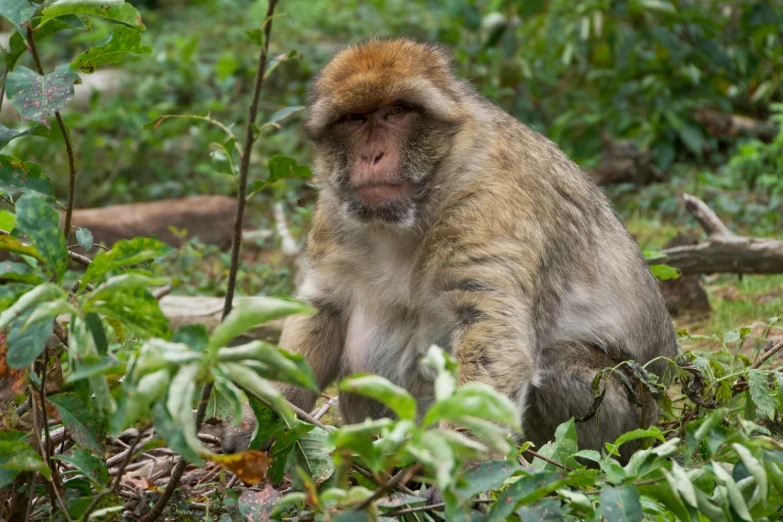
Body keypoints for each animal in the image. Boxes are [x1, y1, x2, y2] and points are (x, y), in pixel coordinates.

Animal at [222, 37, 680, 460]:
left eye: (396, 112)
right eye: (354, 119)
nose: (373, 155)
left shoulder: (488, 203)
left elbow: (490, 331)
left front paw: (459, 468)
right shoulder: (333, 213)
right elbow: (324, 309)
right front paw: (263, 422)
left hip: (624, 415)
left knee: (556, 364)